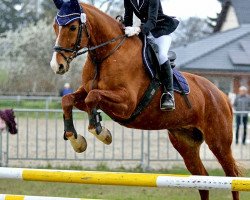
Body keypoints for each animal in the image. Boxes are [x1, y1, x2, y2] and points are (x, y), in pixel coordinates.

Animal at [50, 3, 240, 200]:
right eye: (55, 27)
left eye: (72, 27)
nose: (57, 65)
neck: (106, 55)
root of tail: (221, 95)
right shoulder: (86, 93)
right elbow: (69, 99)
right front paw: (75, 139)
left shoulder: (127, 103)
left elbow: (93, 97)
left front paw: (101, 131)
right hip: (186, 143)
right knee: (202, 178)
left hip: (218, 142)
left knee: (232, 175)